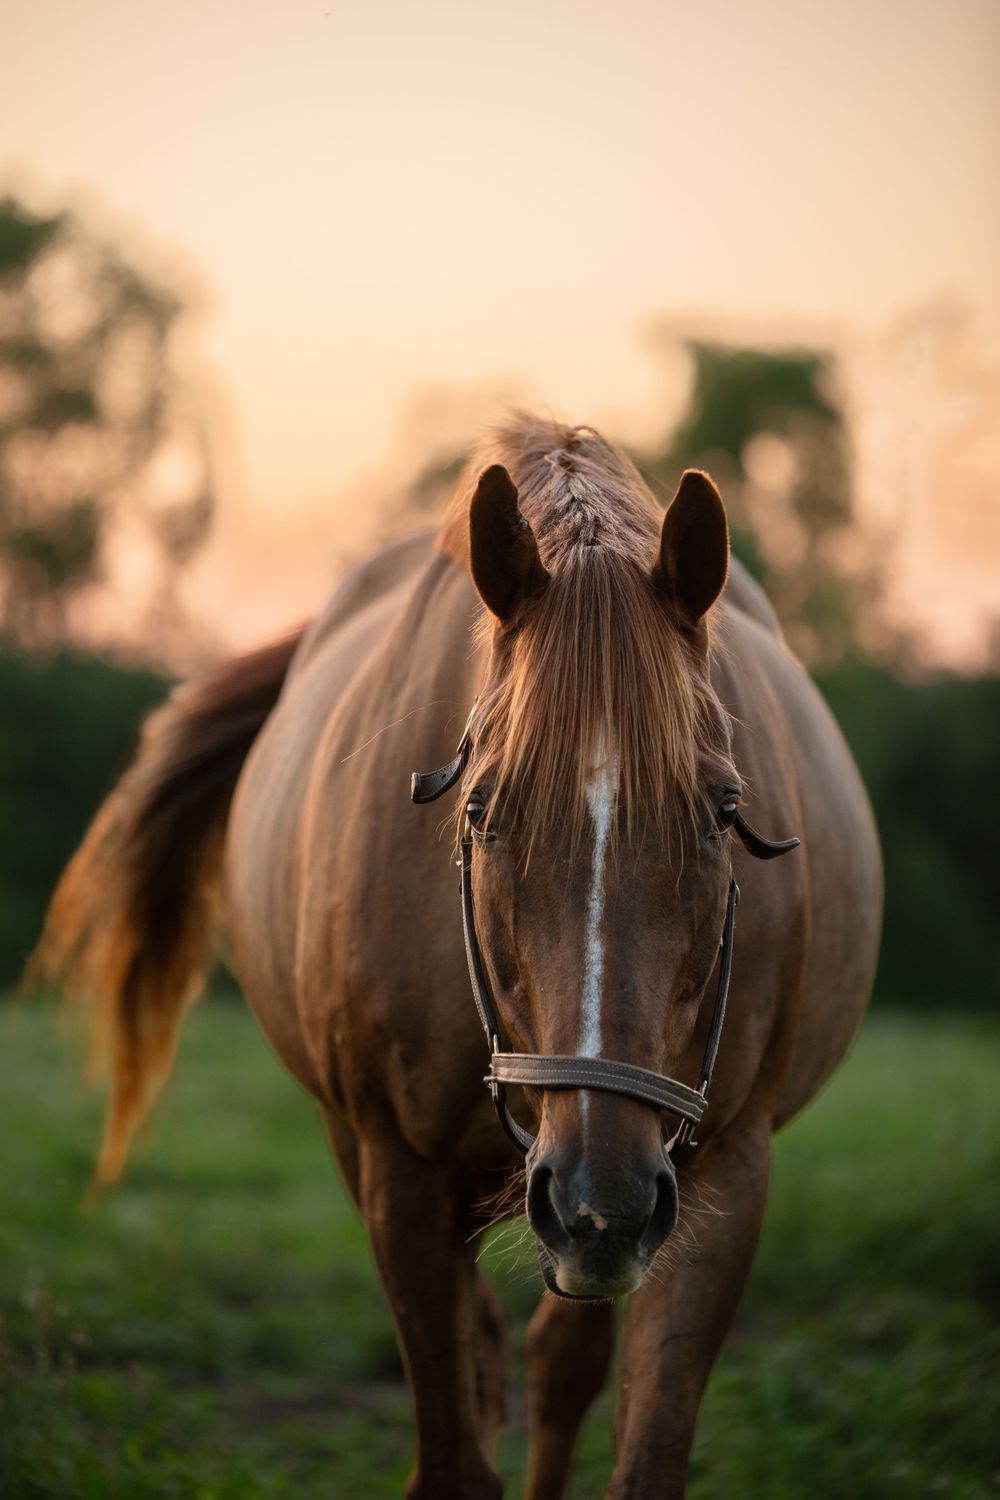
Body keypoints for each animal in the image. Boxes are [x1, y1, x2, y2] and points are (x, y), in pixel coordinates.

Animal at [35, 414, 882, 1499]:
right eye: (481, 810)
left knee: (558, 1362)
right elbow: (450, 1445)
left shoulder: (721, 1176)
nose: (601, 1204)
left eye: (722, 810)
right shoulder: (399, 1174)